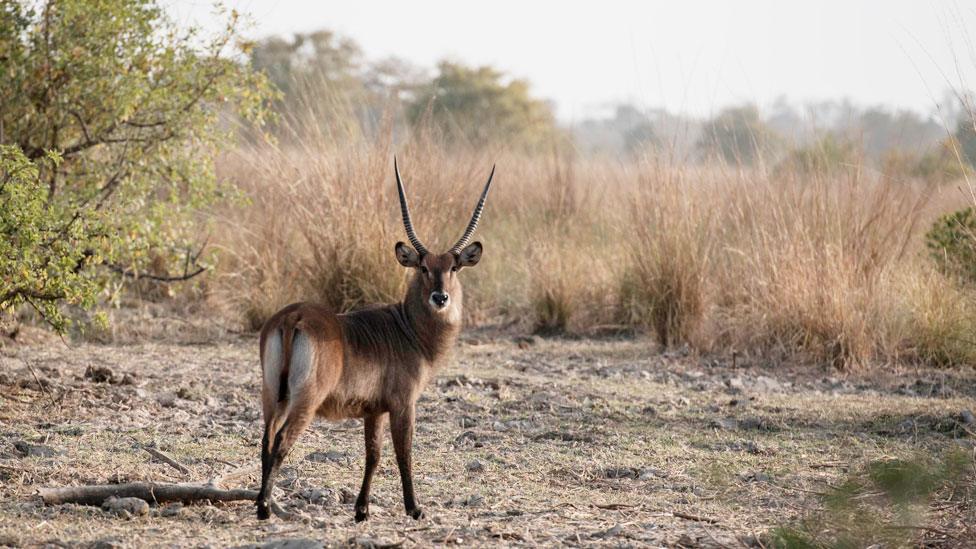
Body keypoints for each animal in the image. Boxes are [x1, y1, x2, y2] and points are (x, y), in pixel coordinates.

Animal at [255, 156, 496, 520]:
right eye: (423, 267)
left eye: (453, 268)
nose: (440, 297)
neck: (407, 327)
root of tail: (294, 316)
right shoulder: (403, 403)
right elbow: (402, 453)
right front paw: (414, 508)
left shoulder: (372, 411)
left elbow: (373, 455)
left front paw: (362, 510)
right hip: (305, 399)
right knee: (281, 441)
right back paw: (265, 509)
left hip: (272, 395)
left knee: (265, 441)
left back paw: (260, 503)